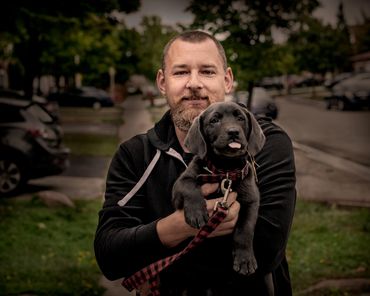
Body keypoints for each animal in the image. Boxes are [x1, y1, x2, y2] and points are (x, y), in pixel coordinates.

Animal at [172, 101, 264, 276]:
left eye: (240, 118)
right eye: (214, 120)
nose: (233, 131)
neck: (225, 171)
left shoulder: (251, 200)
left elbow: (245, 230)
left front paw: (245, 259)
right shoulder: (180, 185)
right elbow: (190, 187)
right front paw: (196, 214)